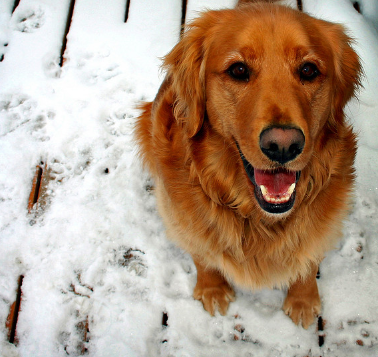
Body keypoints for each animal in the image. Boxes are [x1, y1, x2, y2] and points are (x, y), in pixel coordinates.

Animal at [135, 0, 360, 328]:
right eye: (238, 70)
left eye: (309, 70)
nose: (283, 145)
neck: (257, 219)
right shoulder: (180, 217)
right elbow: (202, 254)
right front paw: (212, 289)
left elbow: (308, 257)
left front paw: (303, 299)